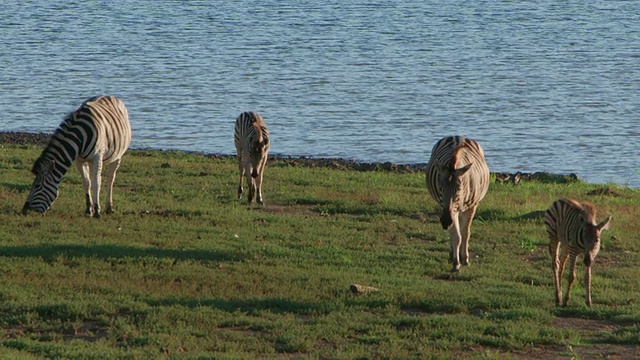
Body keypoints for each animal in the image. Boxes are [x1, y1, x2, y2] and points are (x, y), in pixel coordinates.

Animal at [424, 136, 490, 272]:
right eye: (441, 189)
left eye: (459, 189)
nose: (445, 221)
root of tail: (459, 136)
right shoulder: (448, 209)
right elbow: (456, 235)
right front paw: (456, 262)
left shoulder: (471, 206)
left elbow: (465, 233)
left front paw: (464, 258)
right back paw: (452, 253)